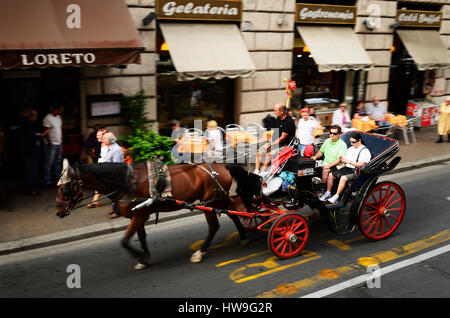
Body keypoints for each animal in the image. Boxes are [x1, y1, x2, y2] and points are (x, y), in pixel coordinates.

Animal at [55, 160, 250, 270]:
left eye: (65, 189)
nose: (58, 212)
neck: (127, 182)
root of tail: (221, 165)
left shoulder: (139, 215)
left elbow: (124, 241)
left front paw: (140, 257)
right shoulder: (138, 215)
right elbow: (141, 237)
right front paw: (144, 257)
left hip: (210, 202)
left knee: (214, 226)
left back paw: (200, 252)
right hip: (218, 201)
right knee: (233, 214)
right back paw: (243, 236)